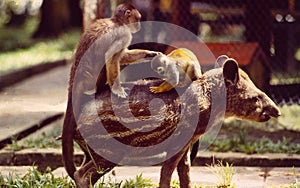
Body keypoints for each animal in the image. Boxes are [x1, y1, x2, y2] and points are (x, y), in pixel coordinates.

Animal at [61, 2, 159, 179]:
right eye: (138, 18)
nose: (139, 25)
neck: (116, 22)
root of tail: (74, 80)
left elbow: (123, 56)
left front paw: (149, 53)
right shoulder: (124, 34)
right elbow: (111, 56)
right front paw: (117, 89)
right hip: (91, 80)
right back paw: (104, 88)